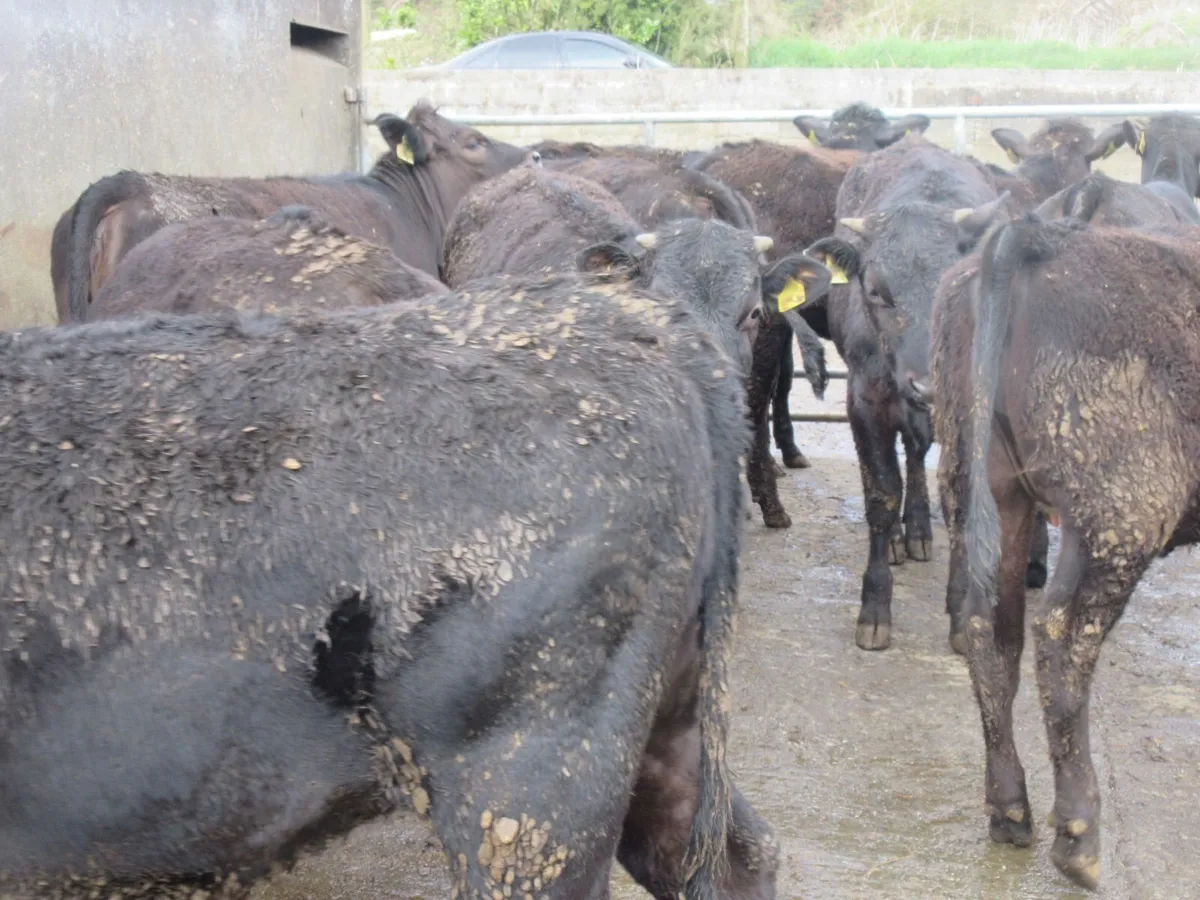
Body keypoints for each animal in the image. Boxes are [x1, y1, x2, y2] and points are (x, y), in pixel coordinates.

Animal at [804, 135, 1008, 650]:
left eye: (958, 283)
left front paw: (961, 613)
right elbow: (881, 493)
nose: (926, 385)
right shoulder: (865, 404)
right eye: (877, 291)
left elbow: (959, 501)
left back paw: (916, 528)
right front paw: (875, 608)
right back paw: (900, 536)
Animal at [930, 215, 1200, 890]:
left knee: (991, 630)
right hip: (1114, 517)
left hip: (990, 489)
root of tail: (1036, 235)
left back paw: (1009, 810)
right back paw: (1078, 836)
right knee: (1061, 640)